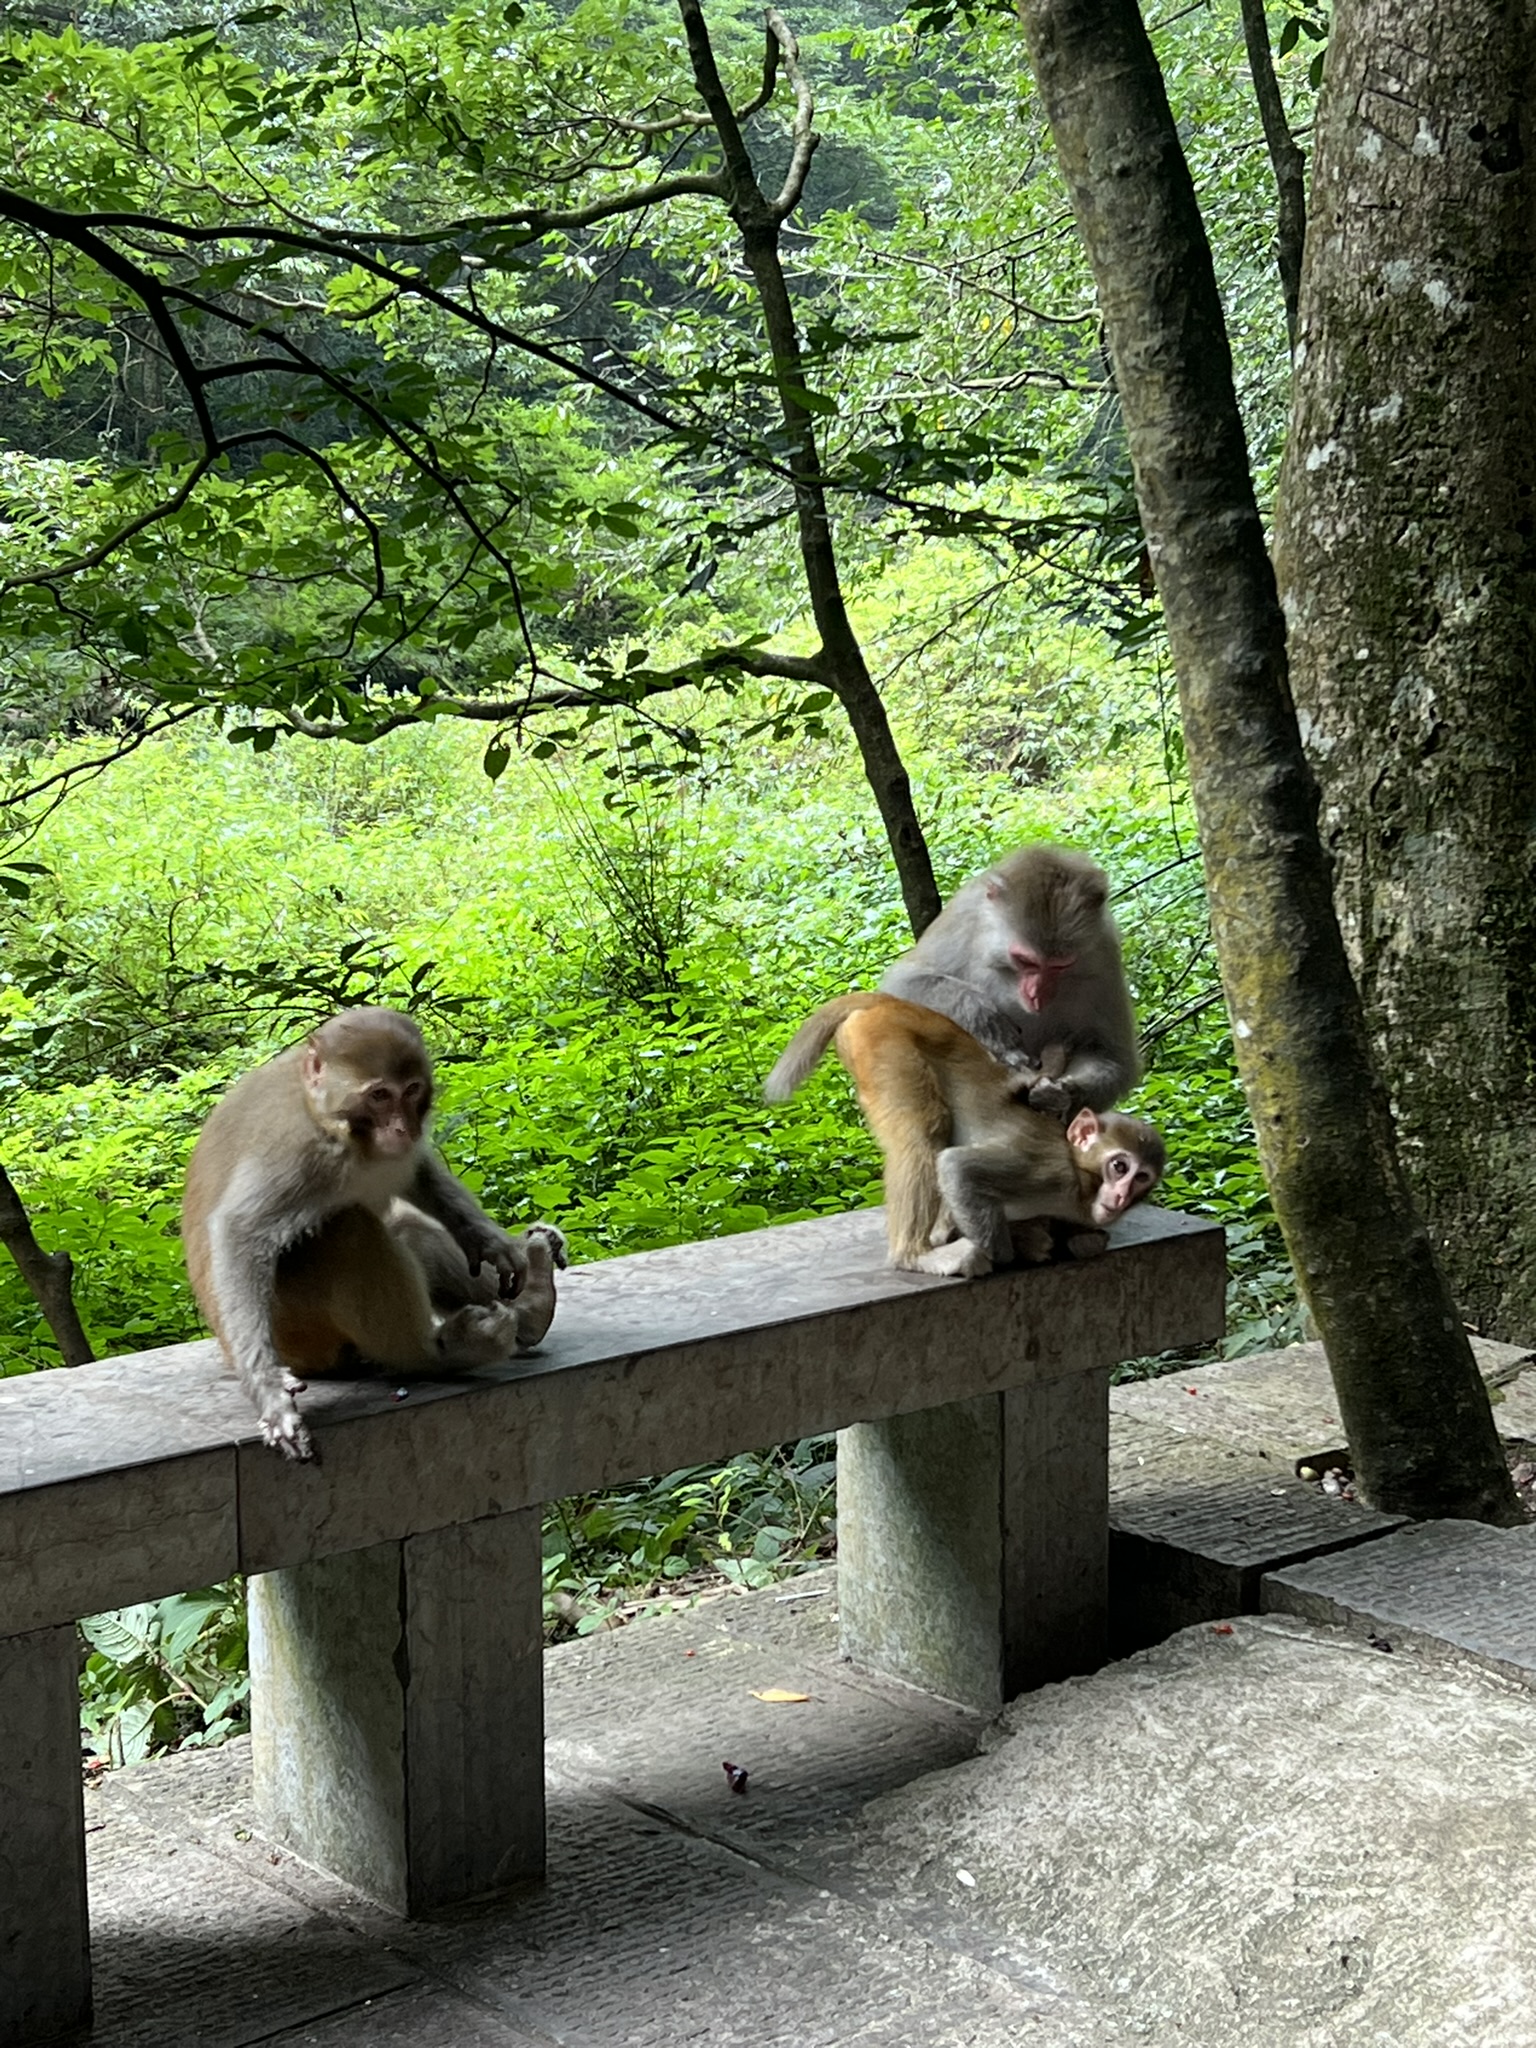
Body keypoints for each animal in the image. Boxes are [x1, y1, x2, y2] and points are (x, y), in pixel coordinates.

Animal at [182, 1007, 568, 1460]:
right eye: (380, 1095)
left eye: (412, 1090)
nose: (402, 1129)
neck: (330, 1120)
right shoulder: (296, 1151)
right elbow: (241, 1233)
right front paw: (270, 1394)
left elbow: (416, 1174)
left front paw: (489, 1242)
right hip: (301, 1338)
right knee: (347, 1229)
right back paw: (436, 1356)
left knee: (402, 1226)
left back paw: (533, 1306)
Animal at [764, 992, 1164, 1278]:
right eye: (1119, 1167)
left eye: (1142, 1178)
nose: (1122, 1196)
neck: (1081, 1186)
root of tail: (890, 1003)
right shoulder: (1049, 1172)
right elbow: (958, 1168)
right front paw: (1009, 1250)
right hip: (883, 1043)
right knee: (923, 1135)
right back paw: (914, 1255)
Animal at [877, 842, 1139, 1118]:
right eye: (1025, 961)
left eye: (1060, 965)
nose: (1036, 993)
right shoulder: (964, 918)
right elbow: (905, 984)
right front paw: (990, 1023)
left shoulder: (1106, 954)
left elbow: (1111, 1055)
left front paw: (1062, 1095)